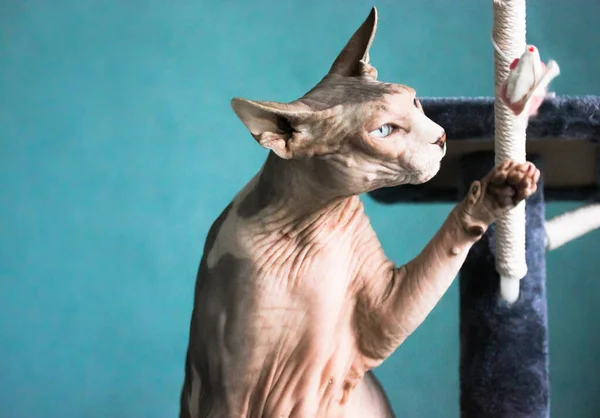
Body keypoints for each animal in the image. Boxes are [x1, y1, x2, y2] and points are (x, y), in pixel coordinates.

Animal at [178, 7, 540, 418]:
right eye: (383, 131)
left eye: (415, 102)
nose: (442, 136)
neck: (309, 228)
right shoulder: (233, 393)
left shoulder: (380, 315)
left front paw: (499, 191)